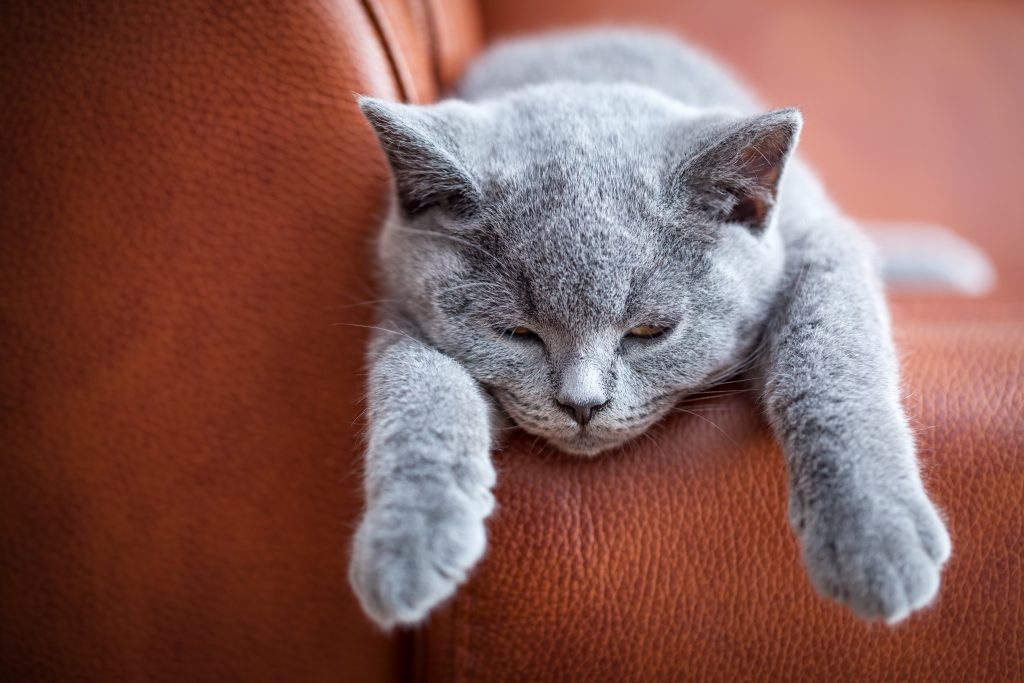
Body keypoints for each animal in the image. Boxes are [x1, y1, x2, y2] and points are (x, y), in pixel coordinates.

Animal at [346, 30, 950, 630]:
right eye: (516, 333)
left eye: (649, 331)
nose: (582, 404)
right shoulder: (401, 308)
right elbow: (419, 388)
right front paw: (407, 544)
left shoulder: (819, 241)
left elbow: (830, 351)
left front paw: (874, 537)